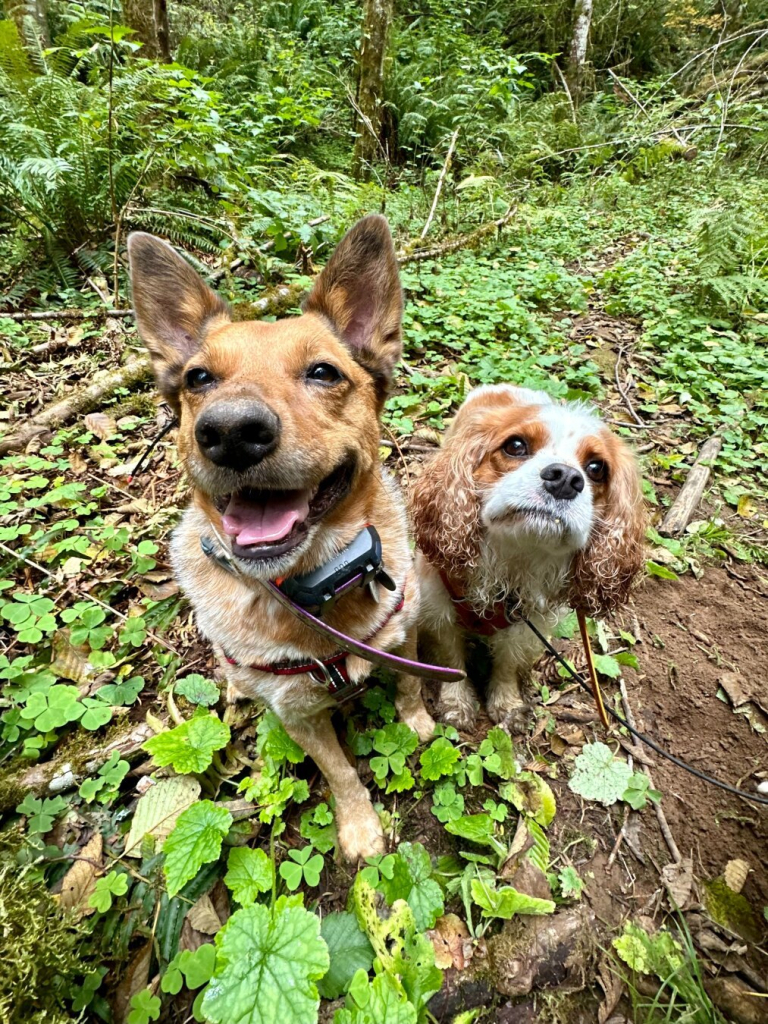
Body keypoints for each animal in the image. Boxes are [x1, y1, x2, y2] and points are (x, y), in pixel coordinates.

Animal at [129, 218, 436, 864]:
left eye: (323, 372)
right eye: (199, 378)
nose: (230, 431)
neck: (320, 591)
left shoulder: (406, 632)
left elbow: (411, 683)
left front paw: (418, 721)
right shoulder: (299, 716)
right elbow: (341, 773)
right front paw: (360, 826)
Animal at [411, 382, 647, 729]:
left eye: (596, 468)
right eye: (516, 446)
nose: (565, 478)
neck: (514, 559)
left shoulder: (526, 625)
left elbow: (508, 663)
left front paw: (507, 704)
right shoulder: (439, 608)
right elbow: (452, 661)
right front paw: (456, 704)